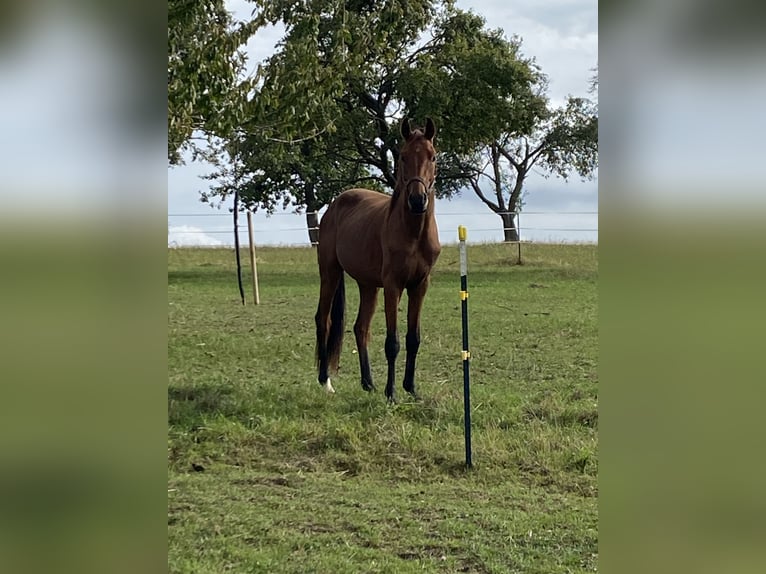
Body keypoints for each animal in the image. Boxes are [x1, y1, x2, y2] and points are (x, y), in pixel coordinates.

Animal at [314, 117, 444, 404]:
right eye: (403, 156)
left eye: (432, 156)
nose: (417, 200)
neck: (413, 232)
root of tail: (334, 205)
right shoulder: (393, 286)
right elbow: (393, 342)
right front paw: (392, 393)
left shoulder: (420, 285)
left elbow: (413, 338)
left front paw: (411, 388)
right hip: (330, 273)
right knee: (323, 320)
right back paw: (325, 381)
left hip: (368, 285)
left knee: (360, 327)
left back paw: (368, 383)